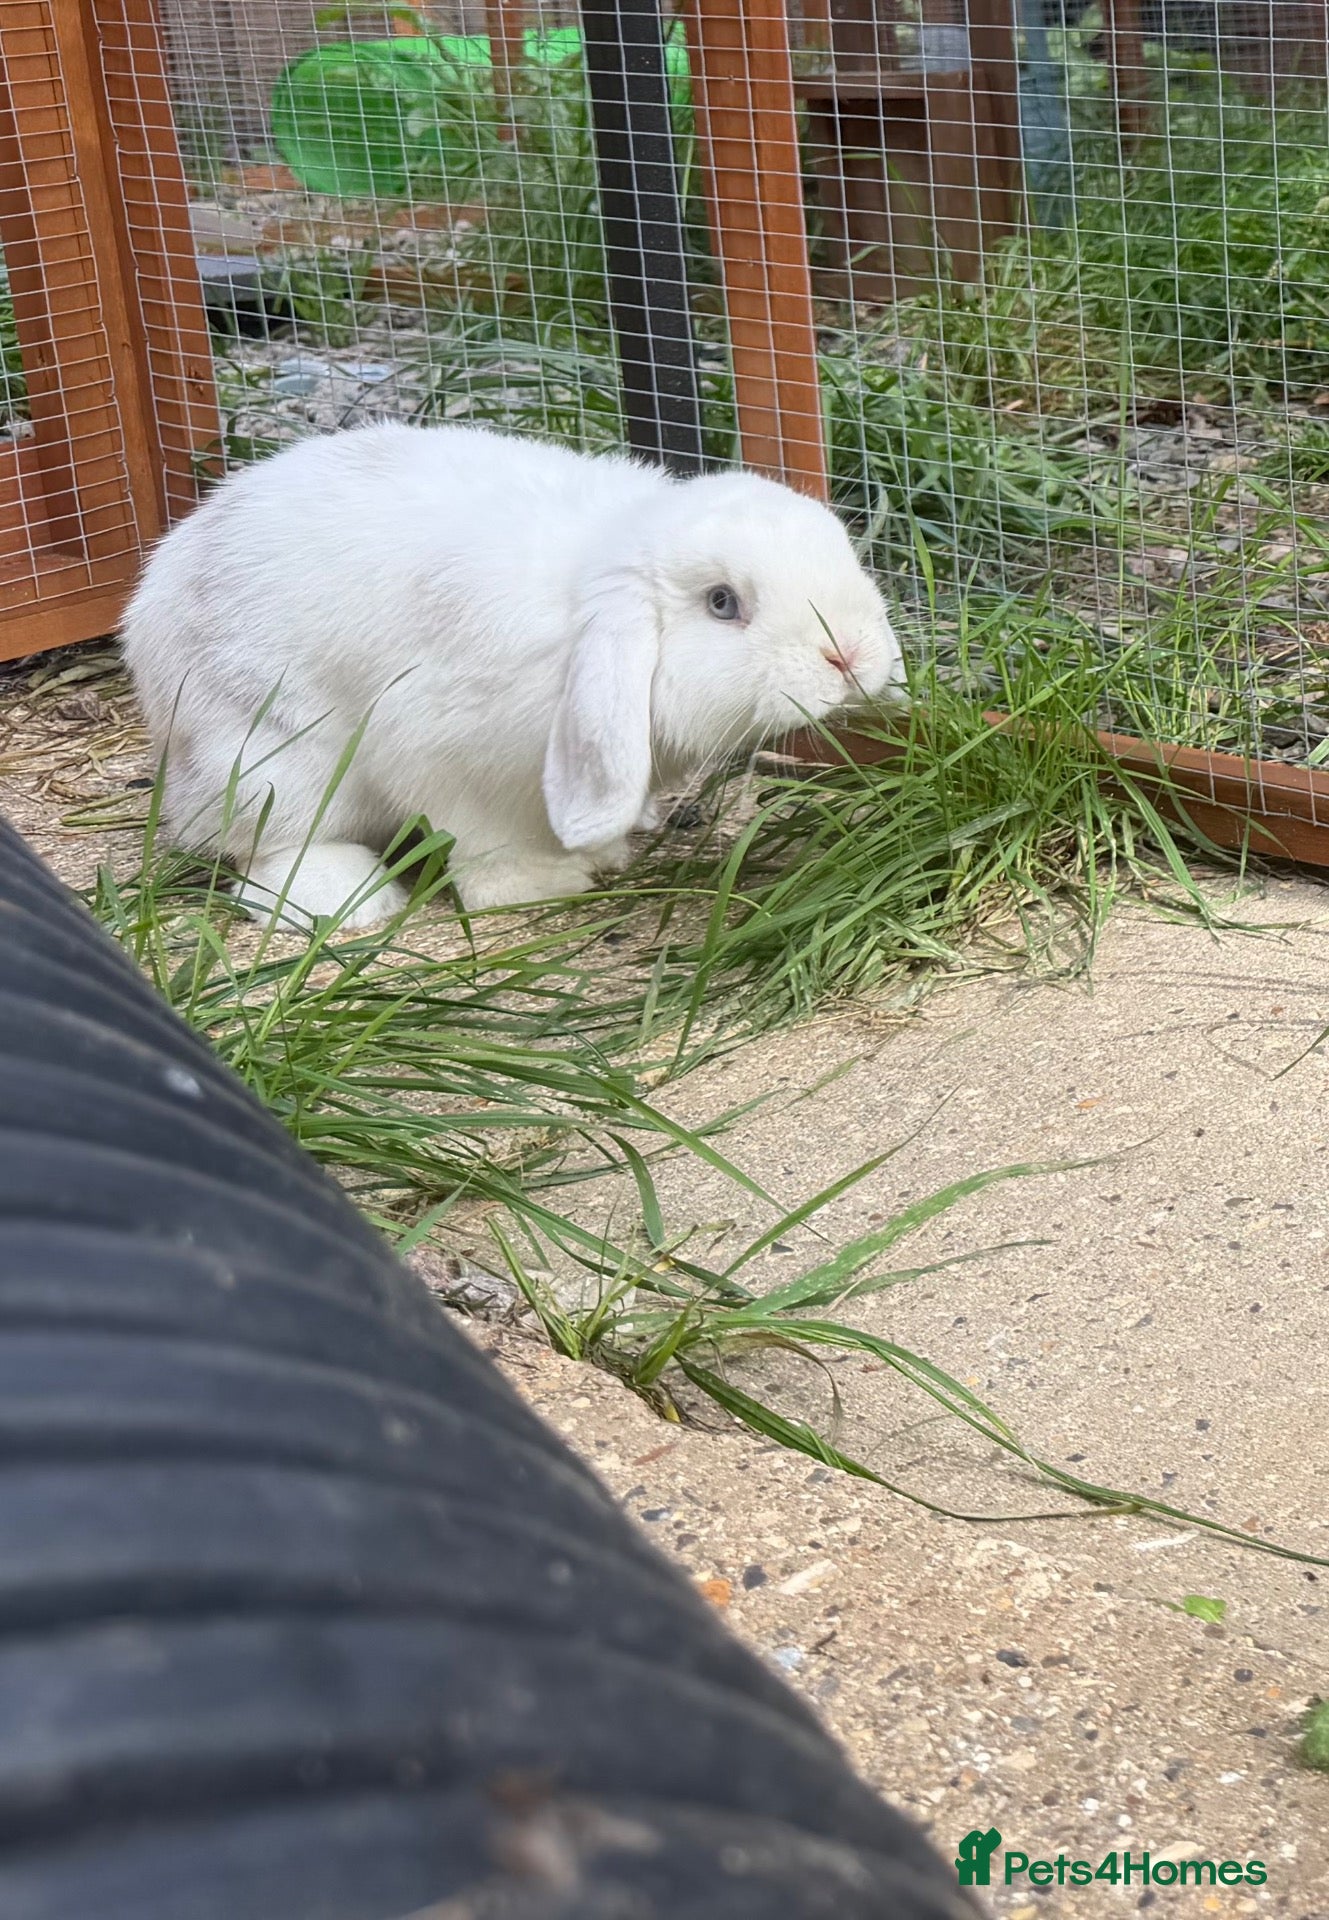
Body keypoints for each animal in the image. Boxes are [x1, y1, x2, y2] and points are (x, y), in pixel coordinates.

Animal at [122, 422, 904, 928]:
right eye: (722, 604)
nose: (851, 656)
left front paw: (605, 851)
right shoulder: (441, 752)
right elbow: (488, 841)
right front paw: (543, 884)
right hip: (269, 751)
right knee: (263, 842)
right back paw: (344, 899)